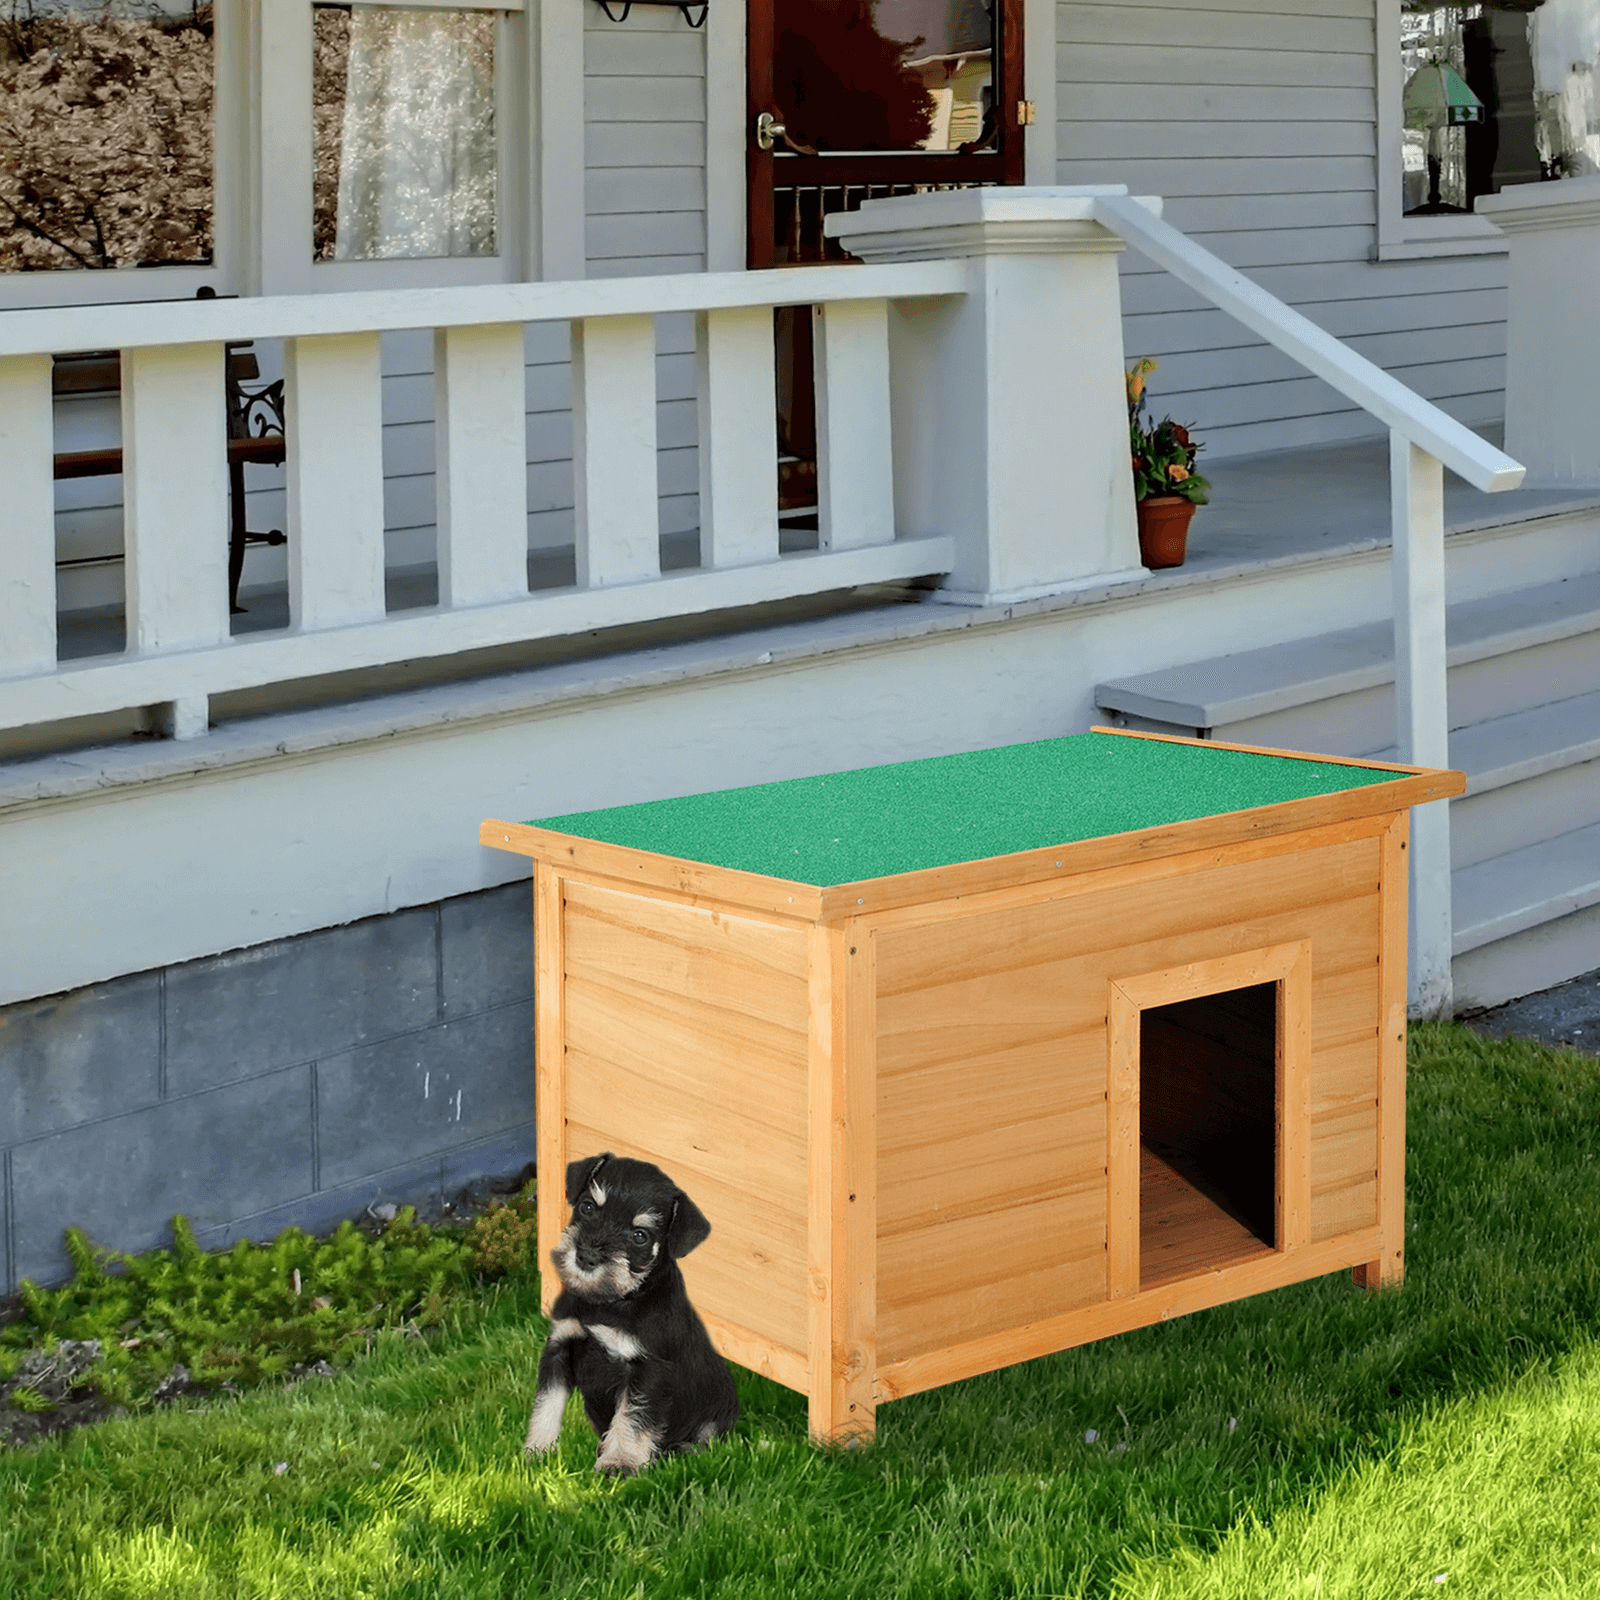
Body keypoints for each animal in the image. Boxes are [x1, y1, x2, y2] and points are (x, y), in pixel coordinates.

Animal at [521, 1152, 739, 1472]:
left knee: (704, 1441)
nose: (586, 1257)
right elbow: (547, 1403)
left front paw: (619, 1463)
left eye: (639, 1236)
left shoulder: (647, 1370)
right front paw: (537, 1450)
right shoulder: (560, 1347)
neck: (607, 1303)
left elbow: (631, 1418)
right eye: (588, 1207)